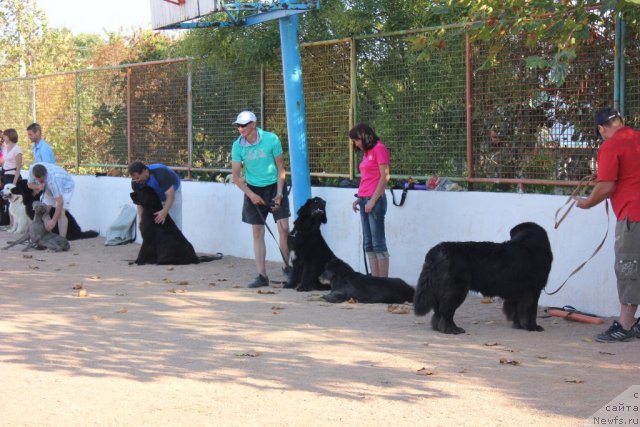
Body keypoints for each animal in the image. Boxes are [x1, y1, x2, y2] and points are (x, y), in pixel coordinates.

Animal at [412, 222, 552, 336]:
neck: (529, 247)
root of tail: (439, 250)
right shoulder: (533, 291)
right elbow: (531, 311)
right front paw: (532, 327)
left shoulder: (517, 294)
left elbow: (516, 311)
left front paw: (518, 326)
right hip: (456, 290)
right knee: (446, 311)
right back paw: (452, 329)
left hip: (440, 289)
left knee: (438, 311)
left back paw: (438, 328)